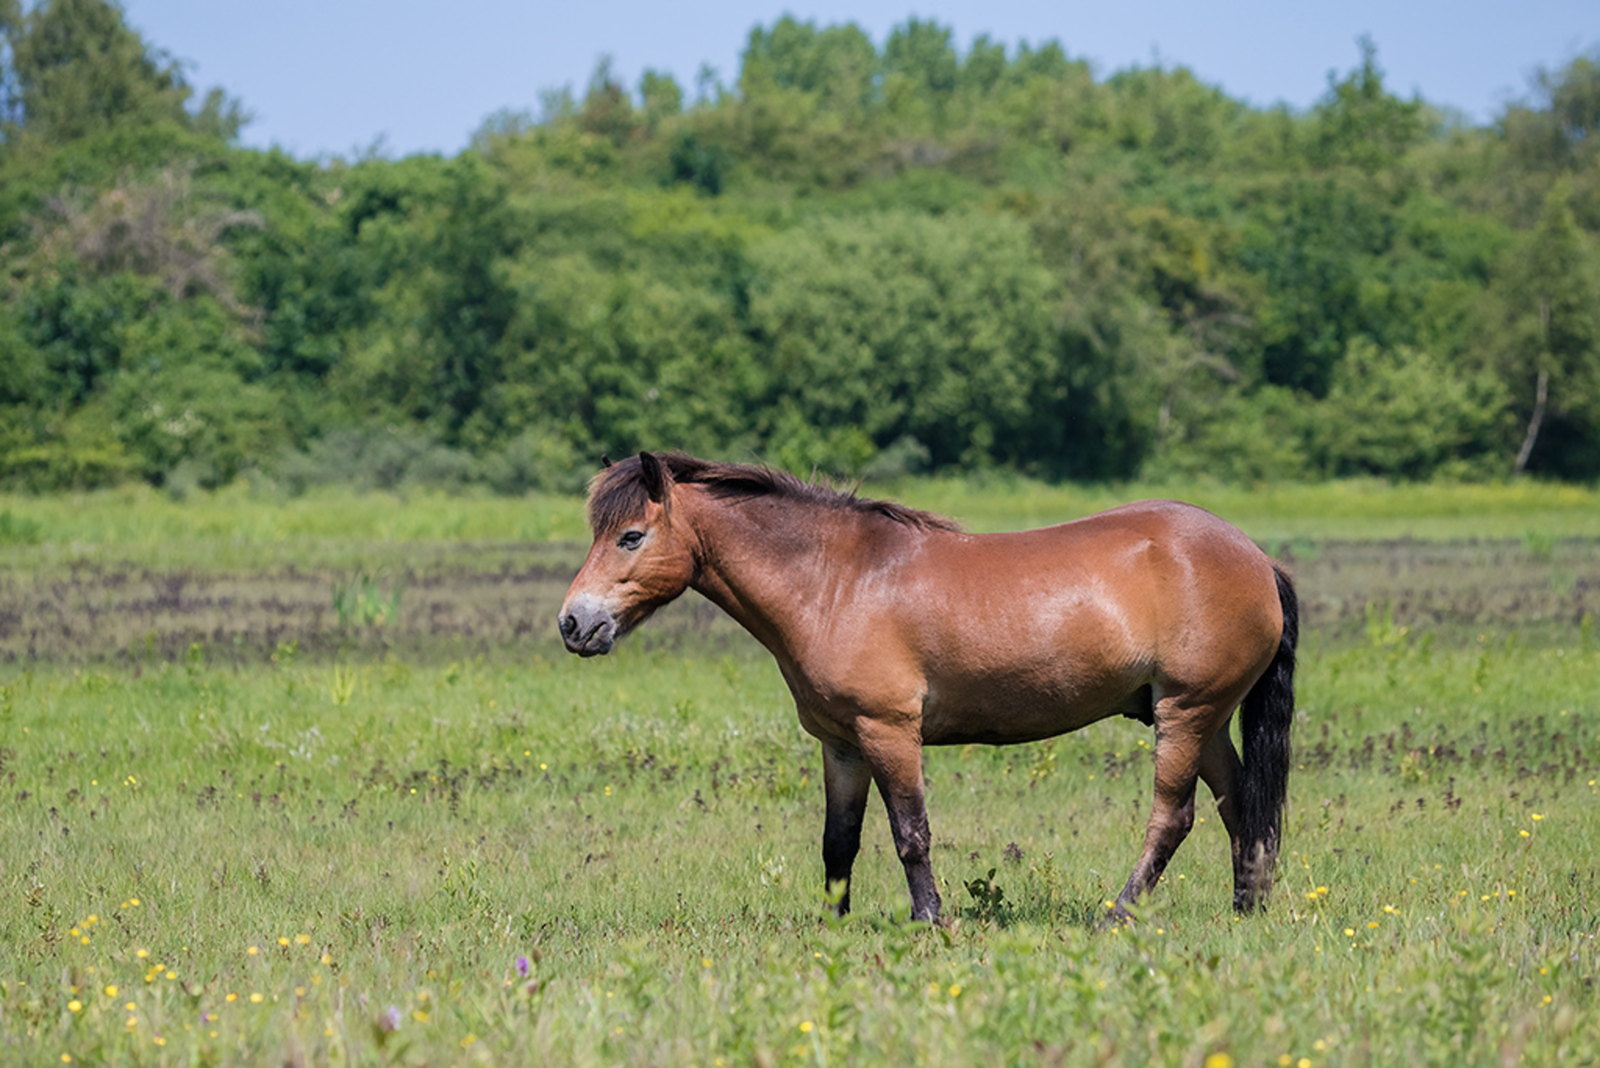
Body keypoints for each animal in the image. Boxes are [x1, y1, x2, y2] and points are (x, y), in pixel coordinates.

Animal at [556, 454, 1292, 920]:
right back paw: (1246, 908)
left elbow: (911, 832)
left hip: (1185, 712)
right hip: (1207, 718)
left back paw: (1119, 913)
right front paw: (835, 926)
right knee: (1239, 806)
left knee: (1174, 817)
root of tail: (1259, 558)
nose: (573, 623)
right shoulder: (841, 743)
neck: (836, 581)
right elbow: (839, 842)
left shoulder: (889, 731)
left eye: (630, 536)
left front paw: (929, 919)